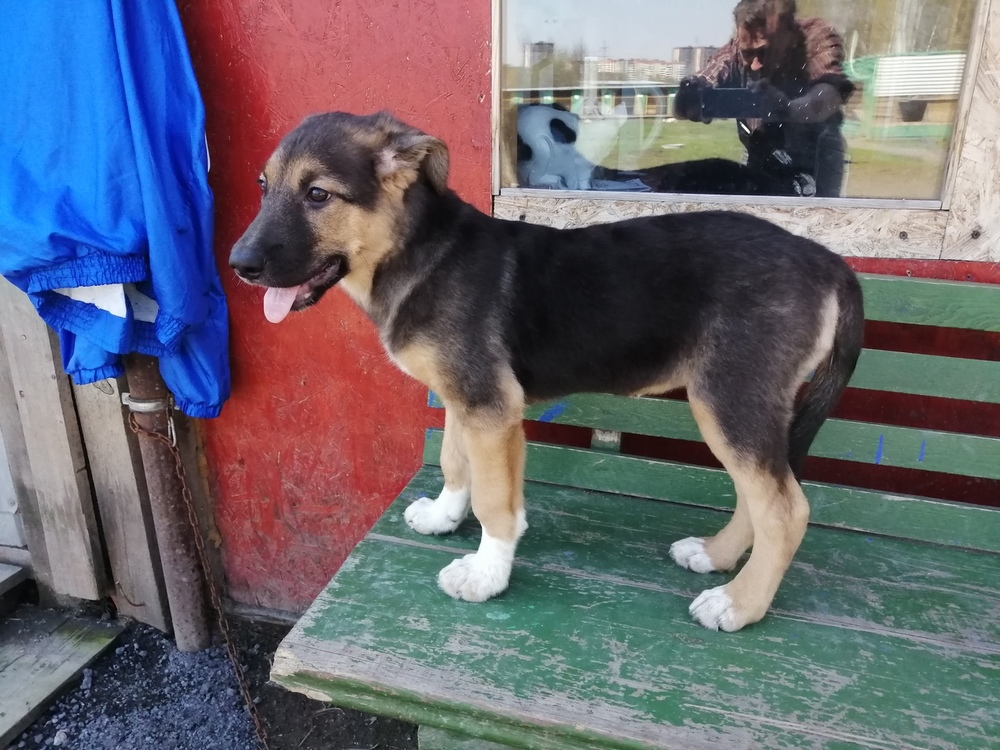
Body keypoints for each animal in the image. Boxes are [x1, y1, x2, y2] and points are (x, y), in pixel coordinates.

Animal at [230, 111, 864, 632]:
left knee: (785, 509)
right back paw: (716, 556)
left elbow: (494, 500)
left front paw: (485, 574)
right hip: (738, 405)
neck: (417, 253)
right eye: (263, 186)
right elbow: (456, 462)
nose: (239, 265)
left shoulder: (490, 406)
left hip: (729, 397)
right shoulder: (468, 399)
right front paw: (444, 517)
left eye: (318, 194)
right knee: (760, 494)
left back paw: (739, 603)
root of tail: (826, 259)